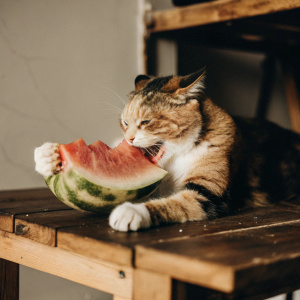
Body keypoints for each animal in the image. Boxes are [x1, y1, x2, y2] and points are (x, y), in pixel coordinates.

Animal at [33, 68, 300, 232]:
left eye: (147, 122)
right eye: (125, 122)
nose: (128, 139)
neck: (174, 162)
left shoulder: (208, 194)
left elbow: (172, 204)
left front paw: (131, 212)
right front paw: (48, 156)